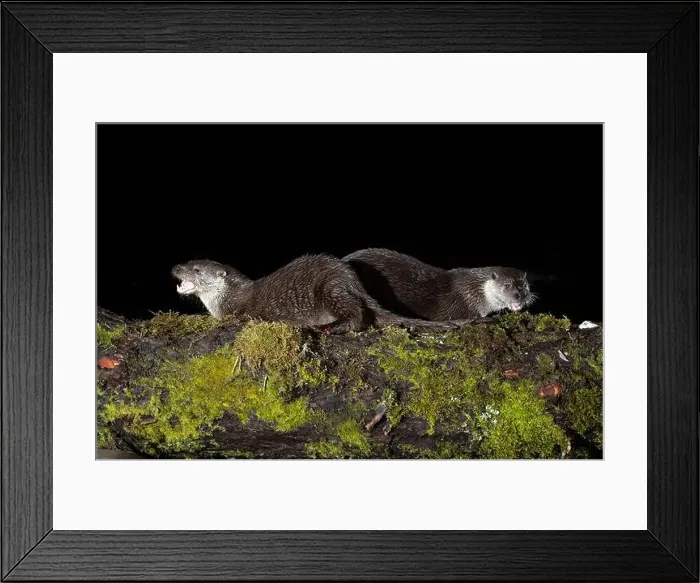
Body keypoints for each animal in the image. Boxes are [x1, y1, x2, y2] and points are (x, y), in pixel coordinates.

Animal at [171, 254, 468, 334]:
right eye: (186, 262)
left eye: (196, 269)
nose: (175, 268)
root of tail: (353, 280)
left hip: (329, 287)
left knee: (358, 315)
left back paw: (330, 328)